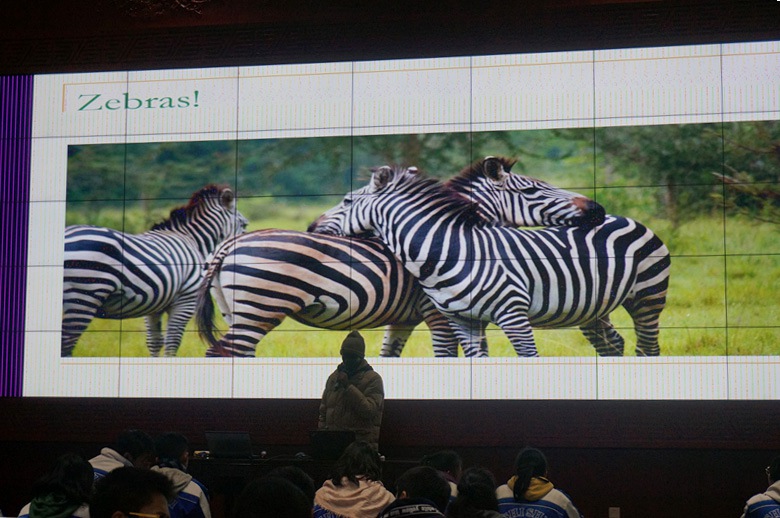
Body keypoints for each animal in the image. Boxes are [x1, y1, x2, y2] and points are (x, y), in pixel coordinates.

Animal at [62, 184, 248, 357]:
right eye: (244, 224)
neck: (192, 240)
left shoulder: (155, 303)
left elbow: (155, 342)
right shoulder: (185, 300)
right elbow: (172, 343)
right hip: (84, 295)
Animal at [196, 156, 606, 357]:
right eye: (535, 189)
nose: (597, 209)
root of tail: (228, 245)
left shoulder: (405, 319)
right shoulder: (437, 315)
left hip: (238, 311)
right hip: (261, 307)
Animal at [312, 165, 670, 357]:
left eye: (347, 201)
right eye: (533, 189)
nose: (312, 226)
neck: (452, 248)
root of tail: (623, 217)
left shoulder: (504, 315)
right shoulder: (457, 320)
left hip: (647, 298)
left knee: (647, 348)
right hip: (593, 308)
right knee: (615, 343)